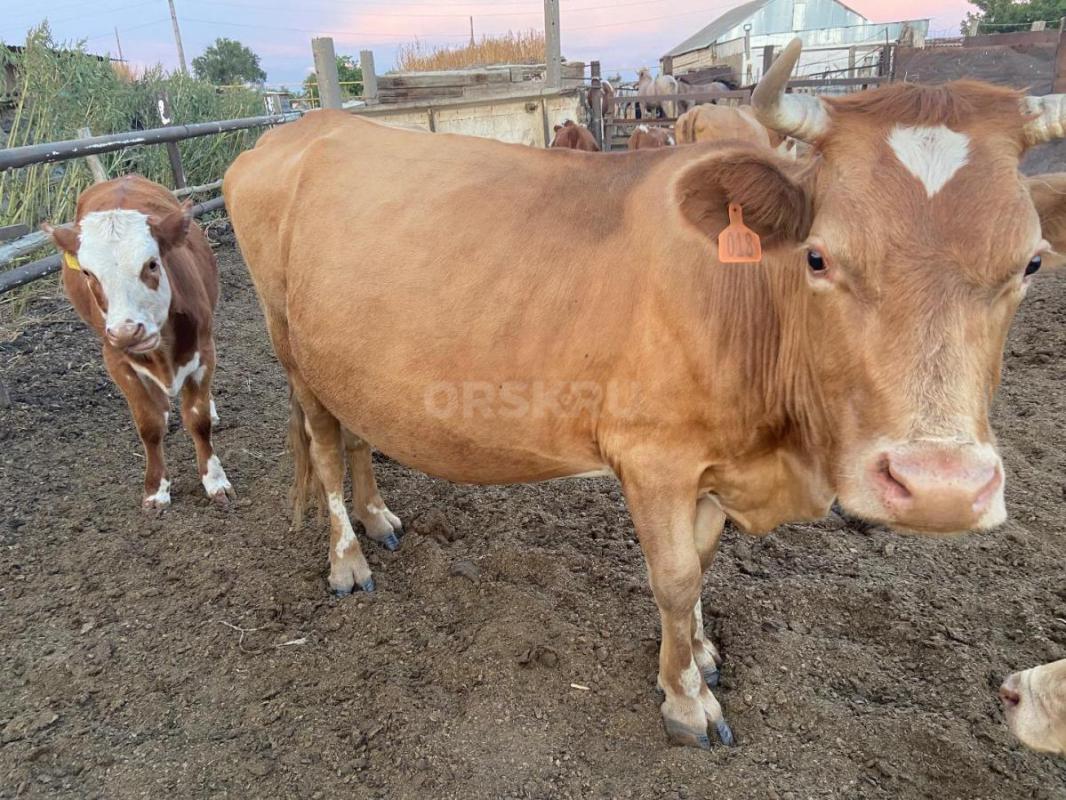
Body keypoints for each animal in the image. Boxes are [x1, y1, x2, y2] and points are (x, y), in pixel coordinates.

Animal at [43, 175, 233, 511]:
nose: (127, 331)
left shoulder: (204, 348)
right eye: (88, 273)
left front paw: (215, 480)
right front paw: (156, 489)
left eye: (152, 264)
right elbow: (149, 424)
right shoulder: (116, 361)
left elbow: (197, 420)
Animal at [223, 38, 1066, 750]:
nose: (940, 489)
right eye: (820, 256)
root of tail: (301, 130)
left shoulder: (715, 465)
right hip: (291, 353)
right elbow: (676, 576)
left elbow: (702, 565)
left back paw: (379, 515)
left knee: (360, 432)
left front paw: (700, 651)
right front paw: (688, 700)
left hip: (349, 359)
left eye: (1030, 264)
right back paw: (347, 558)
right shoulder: (653, 458)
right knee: (324, 451)